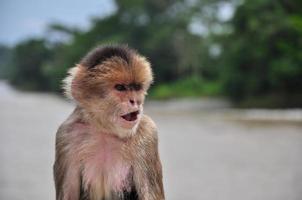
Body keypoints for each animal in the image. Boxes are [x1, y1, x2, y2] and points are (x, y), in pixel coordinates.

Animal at [53, 45, 164, 200]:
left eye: (136, 87)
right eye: (120, 88)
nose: (135, 101)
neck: (105, 130)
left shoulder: (148, 131)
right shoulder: (65, 135)